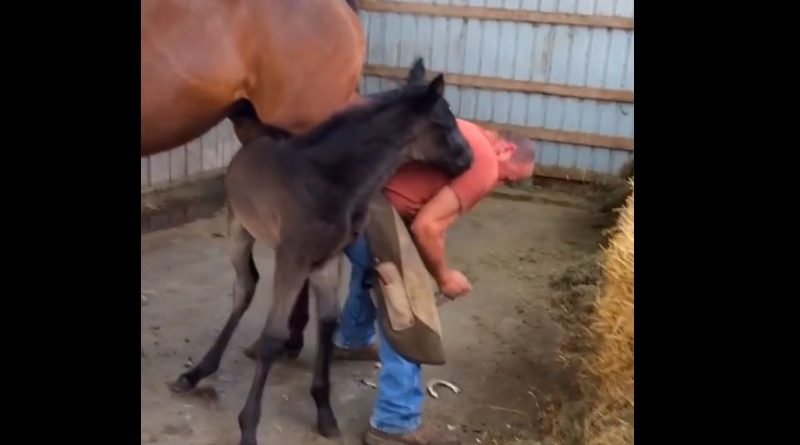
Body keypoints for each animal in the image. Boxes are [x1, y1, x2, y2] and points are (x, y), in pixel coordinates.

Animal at [168, 67, 468, 444]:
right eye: (443, 124)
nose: (468, 159)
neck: (331, 180)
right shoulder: (293, 257)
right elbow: (272, 335)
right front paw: (249, 426)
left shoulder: (327, 259)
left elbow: (327, 322)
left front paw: (325, 411)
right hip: (239, 229)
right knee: (245, 287)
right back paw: (196, 373)